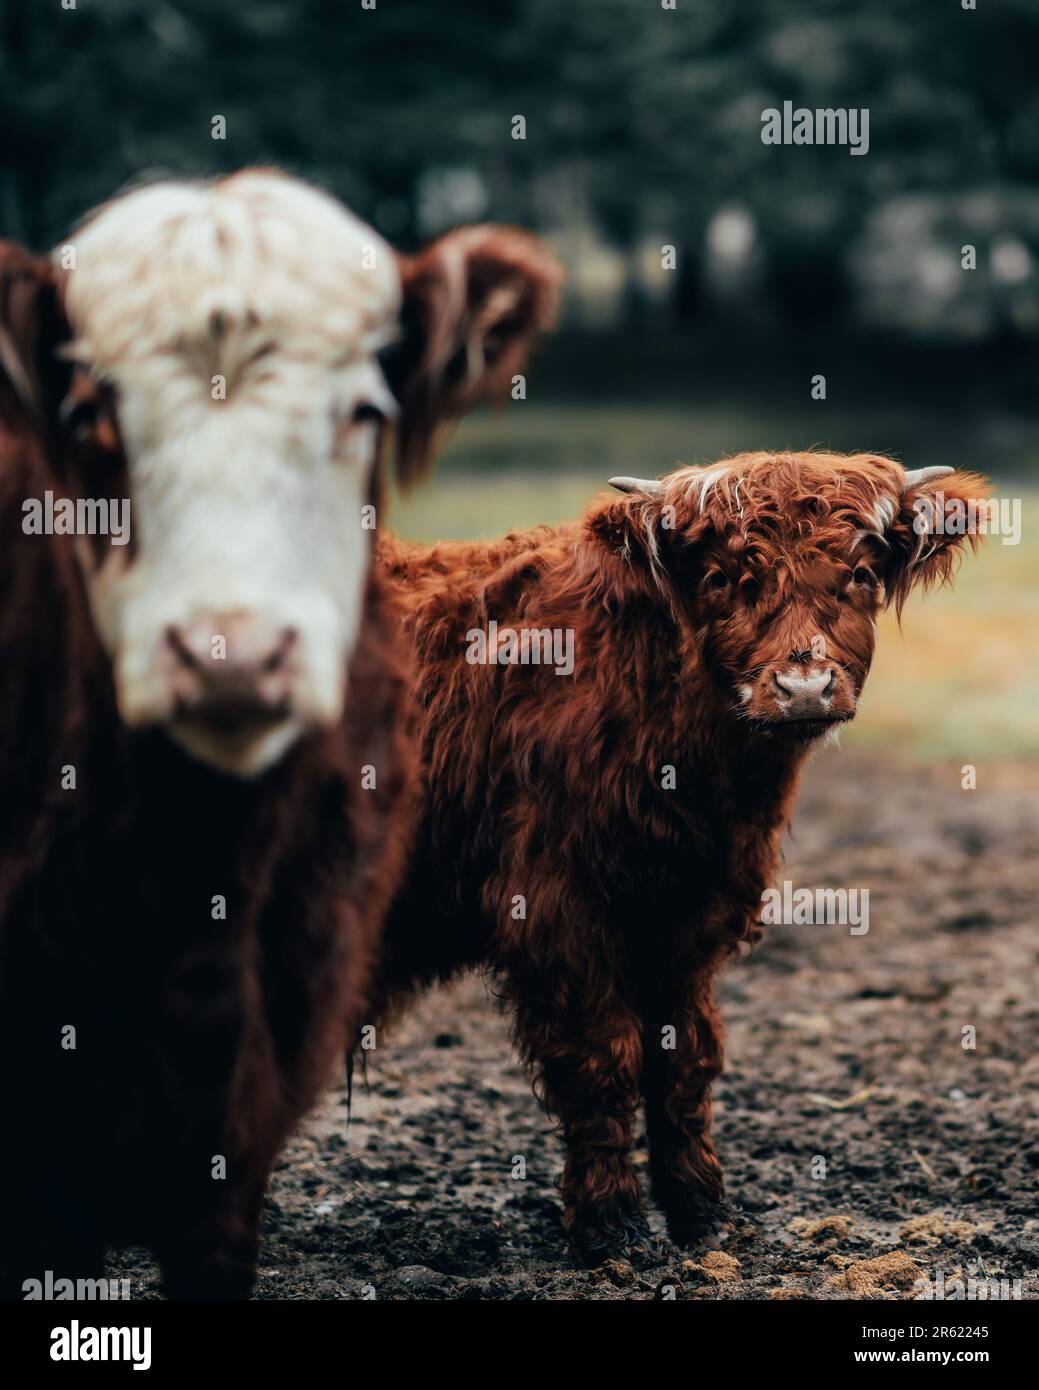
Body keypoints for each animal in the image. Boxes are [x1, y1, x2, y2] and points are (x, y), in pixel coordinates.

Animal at [374, 451, 987, 1261]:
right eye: (724, 579)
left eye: (858, 573)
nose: (802, 687)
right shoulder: (556, 907)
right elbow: (601, 1059)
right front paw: (611, 1224)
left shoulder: (695, 911)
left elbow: (684, 1060)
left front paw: (701, 1211)